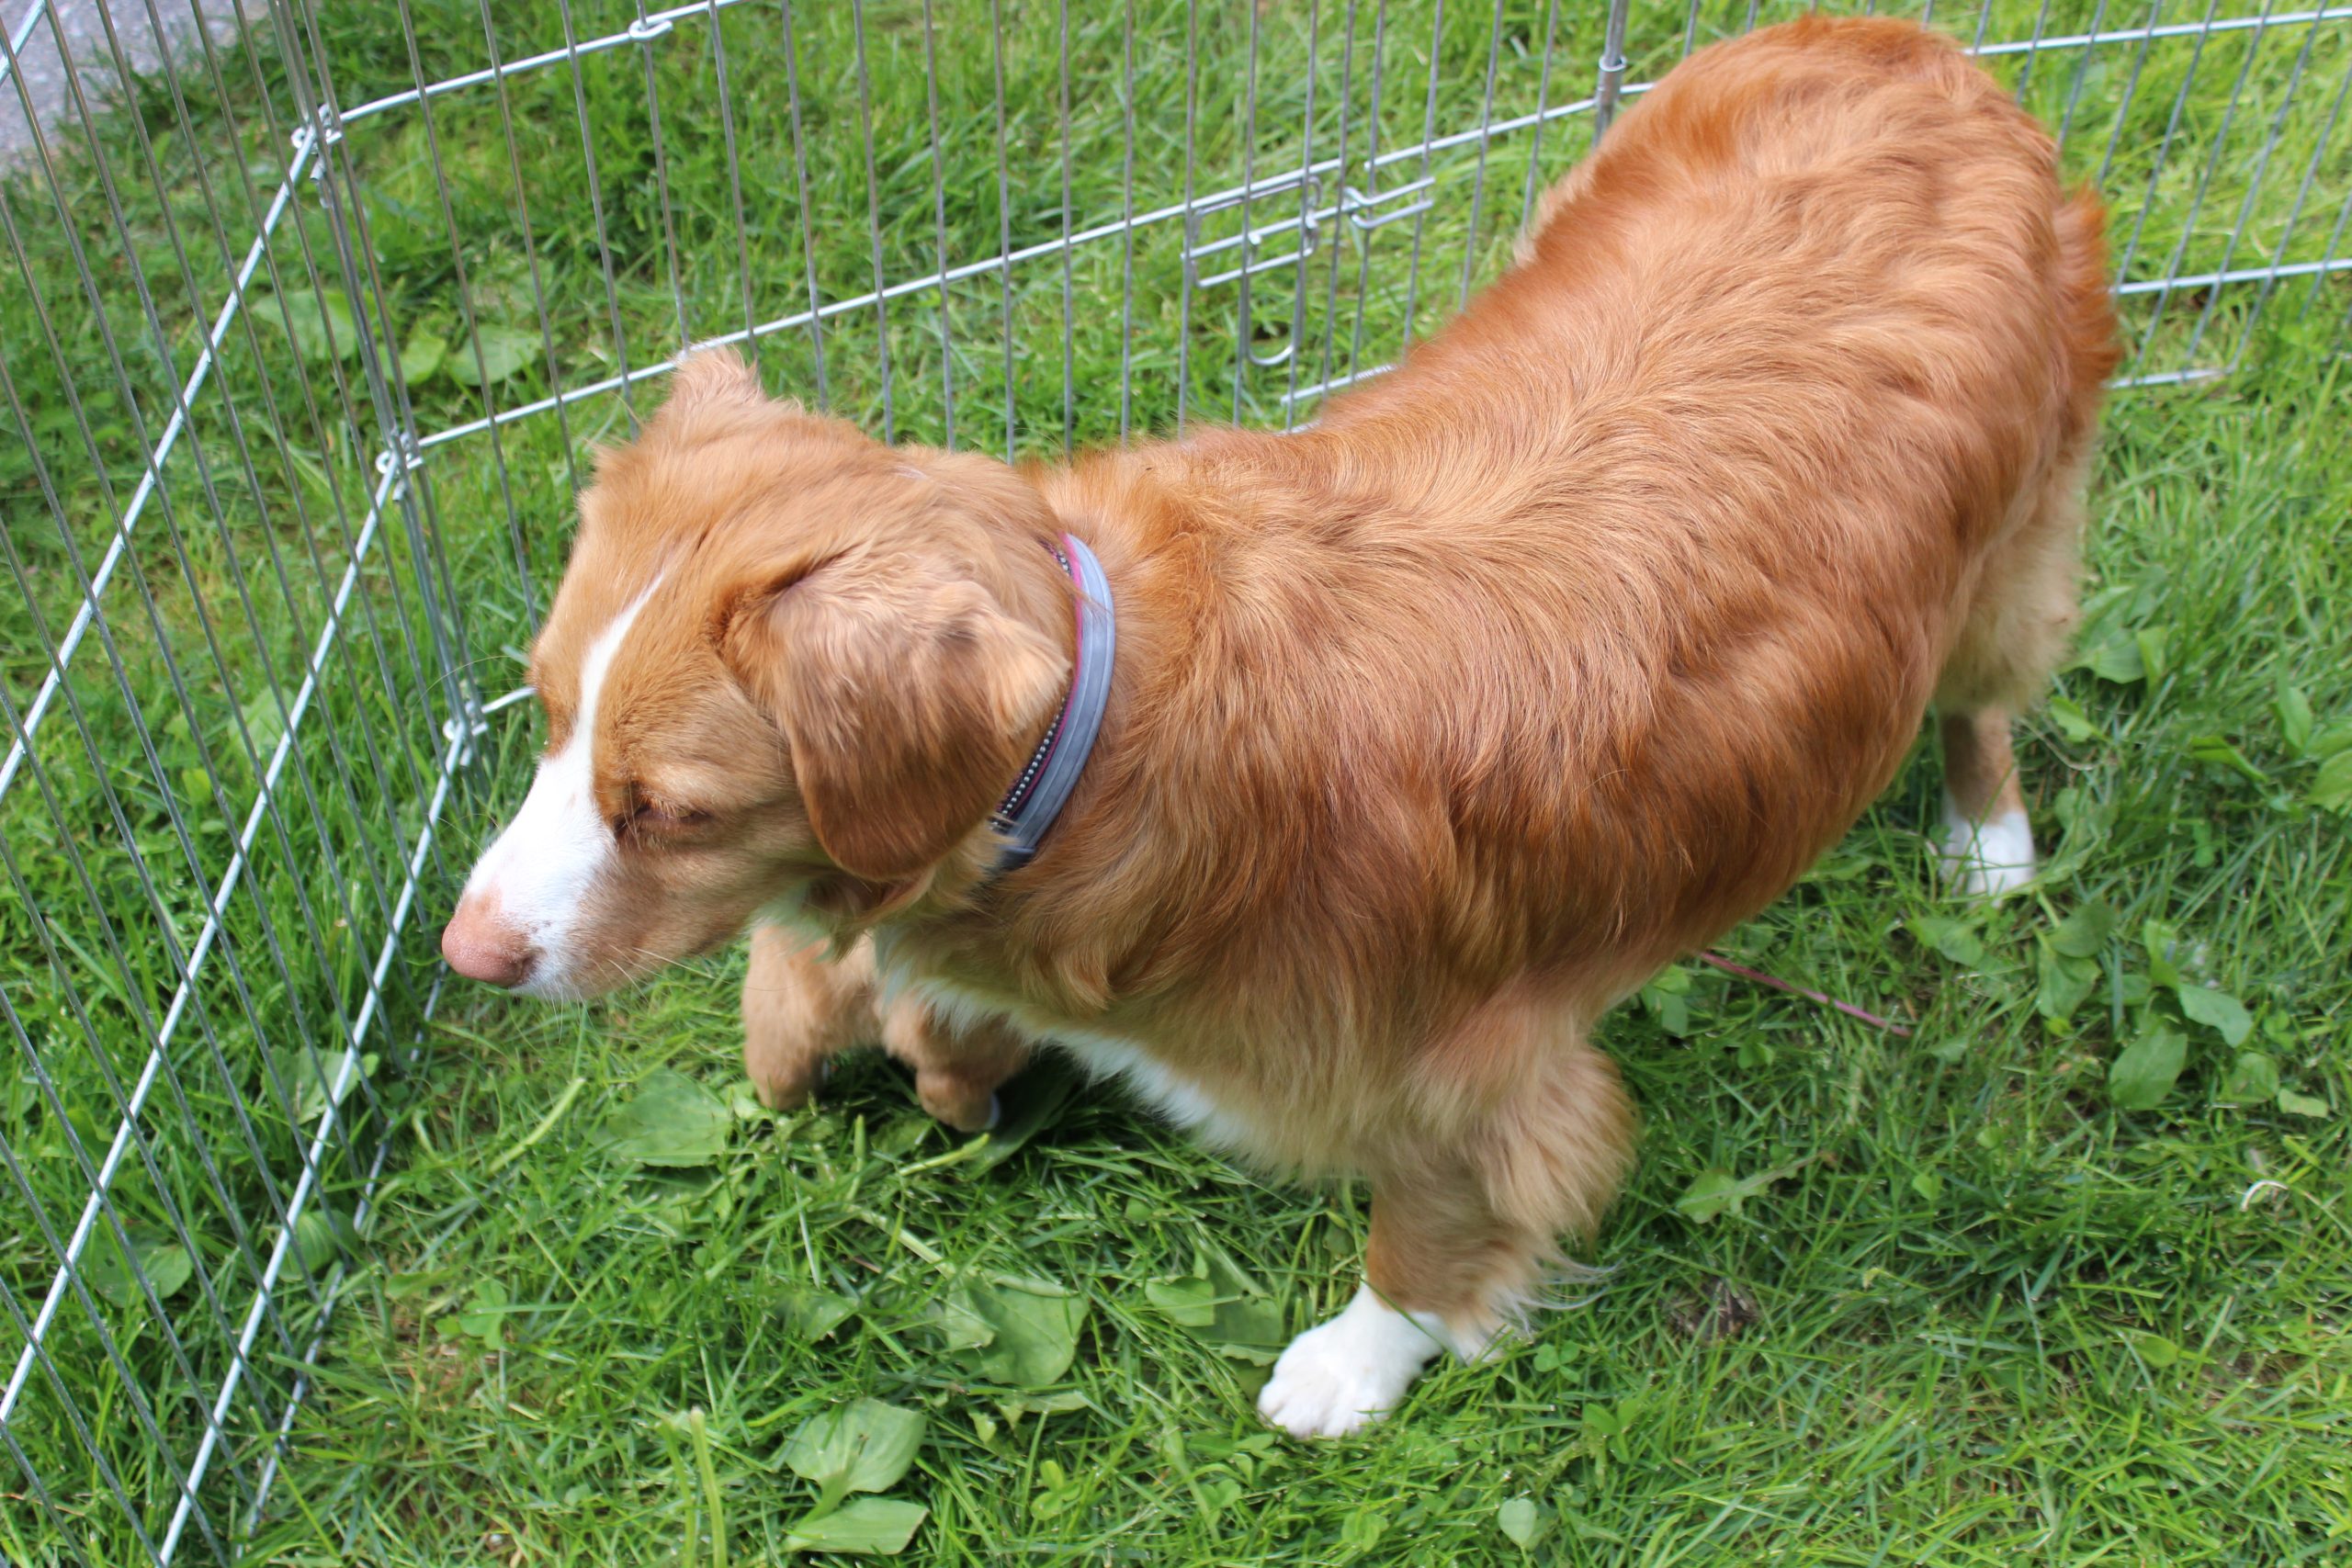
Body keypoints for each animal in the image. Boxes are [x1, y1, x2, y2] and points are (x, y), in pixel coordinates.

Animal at [442, 16, 2115, 1437]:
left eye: (670, 809)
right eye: (543, 714)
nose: (463, 955)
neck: (1093, 739)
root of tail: (1907, 44)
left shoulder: (1469, 1065)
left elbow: (1432, 1220)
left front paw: (1363, 1359)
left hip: (2009, 549)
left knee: (1985, 696)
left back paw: (1988, 840)